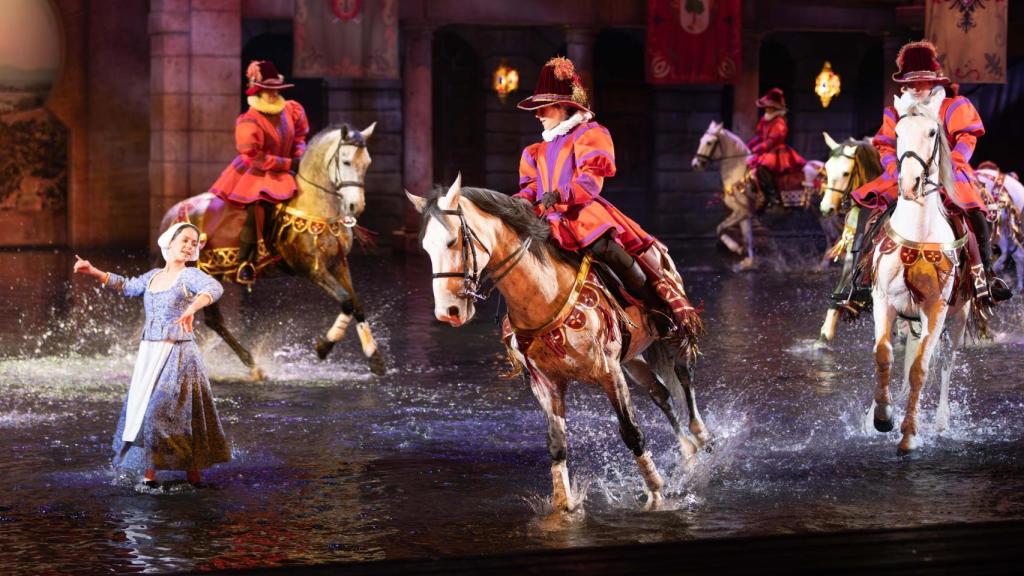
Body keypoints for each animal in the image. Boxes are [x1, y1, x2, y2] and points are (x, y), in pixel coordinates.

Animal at [159, 121, 385, 377]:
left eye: (367, 163)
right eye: (346, 161)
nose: (356, 206)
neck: (316, 208)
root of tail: (173, 212)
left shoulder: (338, 264)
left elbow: (356, 304)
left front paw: (375, 358)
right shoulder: (311, 269)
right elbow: (346, 301)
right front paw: (323, 347)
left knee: (214, 320)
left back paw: (250, 363)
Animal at [403, 176, 708, 510]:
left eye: (452, 241)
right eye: (425, 248)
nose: (448, 312)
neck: (545, 293)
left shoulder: (609, 371)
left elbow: (631, 432)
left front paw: (655, 492)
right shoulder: (546, 382)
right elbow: (557, 443)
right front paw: (564, 503)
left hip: (672, 334)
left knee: (683, 377)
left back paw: (701, 437)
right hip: (632, 357)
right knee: (660, 393)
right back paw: (688, 452)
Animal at [696, 119, 831, 270]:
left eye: (709, 142)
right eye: (701, 140)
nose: (696, 164)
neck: (739, 172)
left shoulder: (741, 211)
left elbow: (720, 228)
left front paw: (735, 248)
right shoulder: (745, 214)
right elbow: (746, 238)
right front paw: (747, 262)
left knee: (832, 236)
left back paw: (824, 265)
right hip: (818, 211)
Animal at [811, 132, 884, 344]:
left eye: (845, 173)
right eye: (827, 169)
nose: (826, 208)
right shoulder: (854, 249)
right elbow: (842, 286)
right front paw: (825, 334)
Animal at [864, 90, 966, 453]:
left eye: (933, 132)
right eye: (897, 133)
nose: (910, 184)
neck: (919, 234)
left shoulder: (935, 309)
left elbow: (920, 368)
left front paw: (908, 434)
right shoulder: (884, 301)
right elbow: (883, 355)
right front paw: (882, 416)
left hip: (958, 317)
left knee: (946, 362)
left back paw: (941, 421)